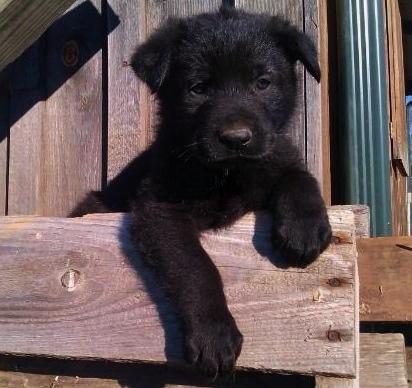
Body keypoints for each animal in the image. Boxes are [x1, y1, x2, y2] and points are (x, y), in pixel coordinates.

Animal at [71, 6, 332, 376]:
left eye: (262, 82)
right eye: (198, 88)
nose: (236, 139)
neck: (228, 174)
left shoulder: (277, 155)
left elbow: (298, 177)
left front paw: (303, 227)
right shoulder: (160, 210)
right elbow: (195, 267)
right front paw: (214, 334)